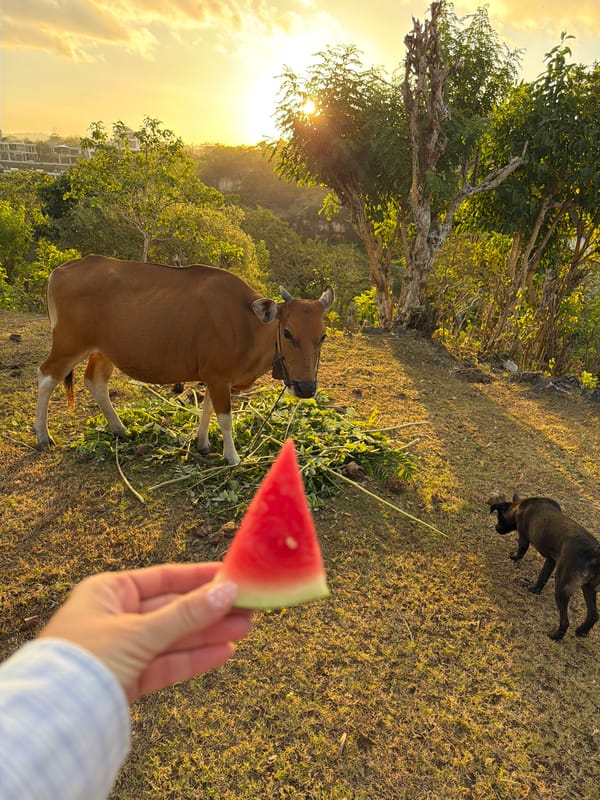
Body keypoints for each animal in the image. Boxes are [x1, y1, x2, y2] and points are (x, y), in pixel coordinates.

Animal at [34, 255, 334, 465]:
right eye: (287, 332)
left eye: (322, 336)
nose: (306, 387)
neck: (247, 324)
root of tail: (60, 271)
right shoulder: (218, 377)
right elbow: (225, 417)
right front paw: (232, 457)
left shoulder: (216, 375)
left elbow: (209, 408)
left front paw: (203, 443)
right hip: (68, 345)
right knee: (46, 377)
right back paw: (43, 435)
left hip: (104, 350)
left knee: (95, 382)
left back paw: (119, 428)